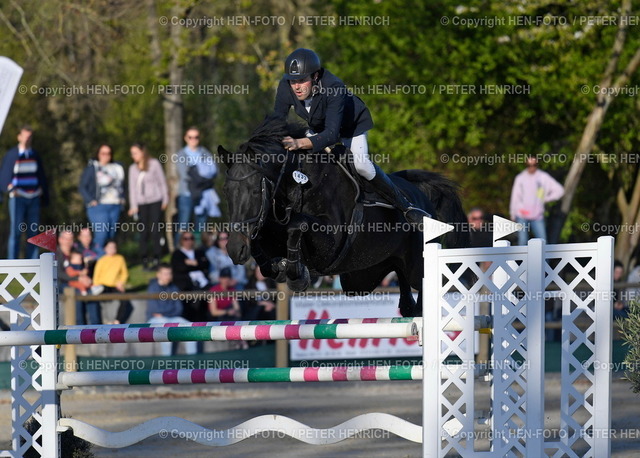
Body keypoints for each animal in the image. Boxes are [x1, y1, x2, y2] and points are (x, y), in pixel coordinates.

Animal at [218, 114, 468, 316]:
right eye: (226, 191)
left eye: (253, 190)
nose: (234, 250)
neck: (298, 183)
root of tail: (420, 196)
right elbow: (262, 247)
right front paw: (282, 267)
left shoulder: (330, 244)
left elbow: (297, 225)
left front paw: (297, 275)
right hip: (360, 279)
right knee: (406, 297)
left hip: (417, 265)